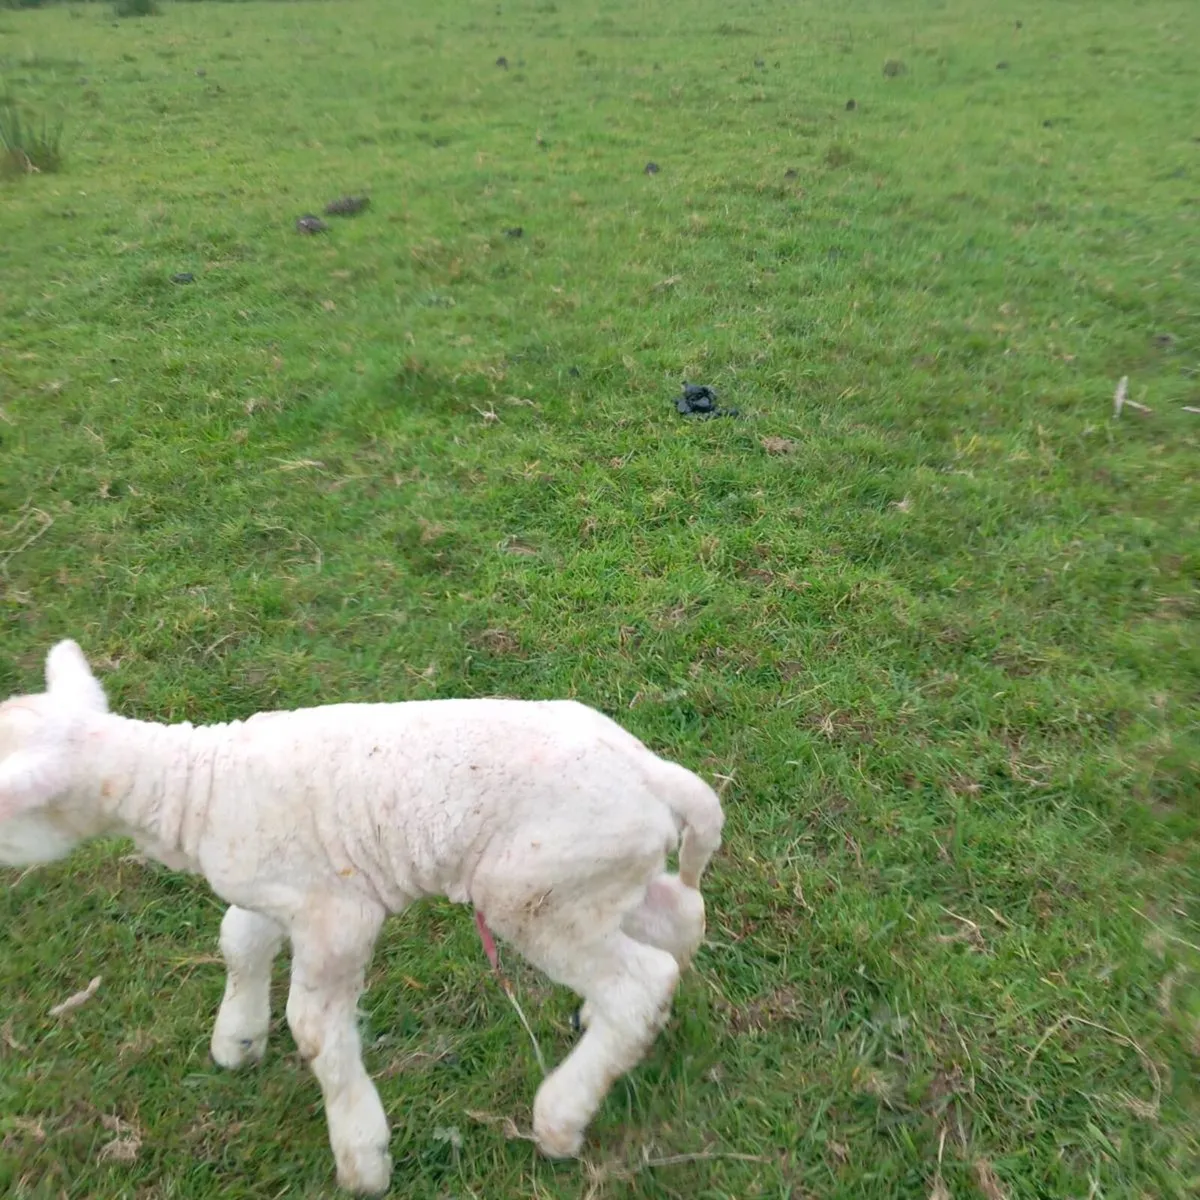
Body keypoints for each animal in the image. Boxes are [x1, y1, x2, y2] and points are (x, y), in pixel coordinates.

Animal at [0, 640, 725, 1195]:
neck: (195, 789)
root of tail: (657, 776)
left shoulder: (337, 914)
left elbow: (315, 1027)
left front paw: (361, 1154)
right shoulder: (281, 887)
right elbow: (238, 940)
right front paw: (238, 1038)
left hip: (531, 891)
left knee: (640, 981)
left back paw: (561, 1116)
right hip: (594, 880)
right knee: (680, 922)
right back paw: (611, 1028)